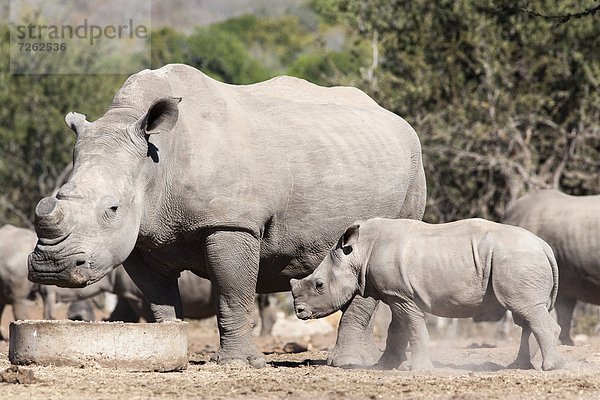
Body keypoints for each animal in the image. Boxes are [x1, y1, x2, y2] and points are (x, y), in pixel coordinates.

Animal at [28, 64, 426, 368]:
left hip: (412, 167)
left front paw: (238, 364)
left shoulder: (231, 223)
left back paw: (350, 364)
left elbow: (231, 292)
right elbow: (158, 299)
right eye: (57, 198)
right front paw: (169, 348)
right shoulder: (138, 237)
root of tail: (396, 119)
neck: (156, 162)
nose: (51, 266)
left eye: (112, 209)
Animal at [290, 219, 564, 372]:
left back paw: (549, 368)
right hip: (521, 261)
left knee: (526, 309)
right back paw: (520, 367)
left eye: (319, 285)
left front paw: (418, 369)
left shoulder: (400, 295)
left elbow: (413, 328)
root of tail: (545, 246)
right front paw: (384, 367)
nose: (299, 311)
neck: (358, 252)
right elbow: (398, 329)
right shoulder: (398, 293)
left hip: (518, 260)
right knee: (526, 313)